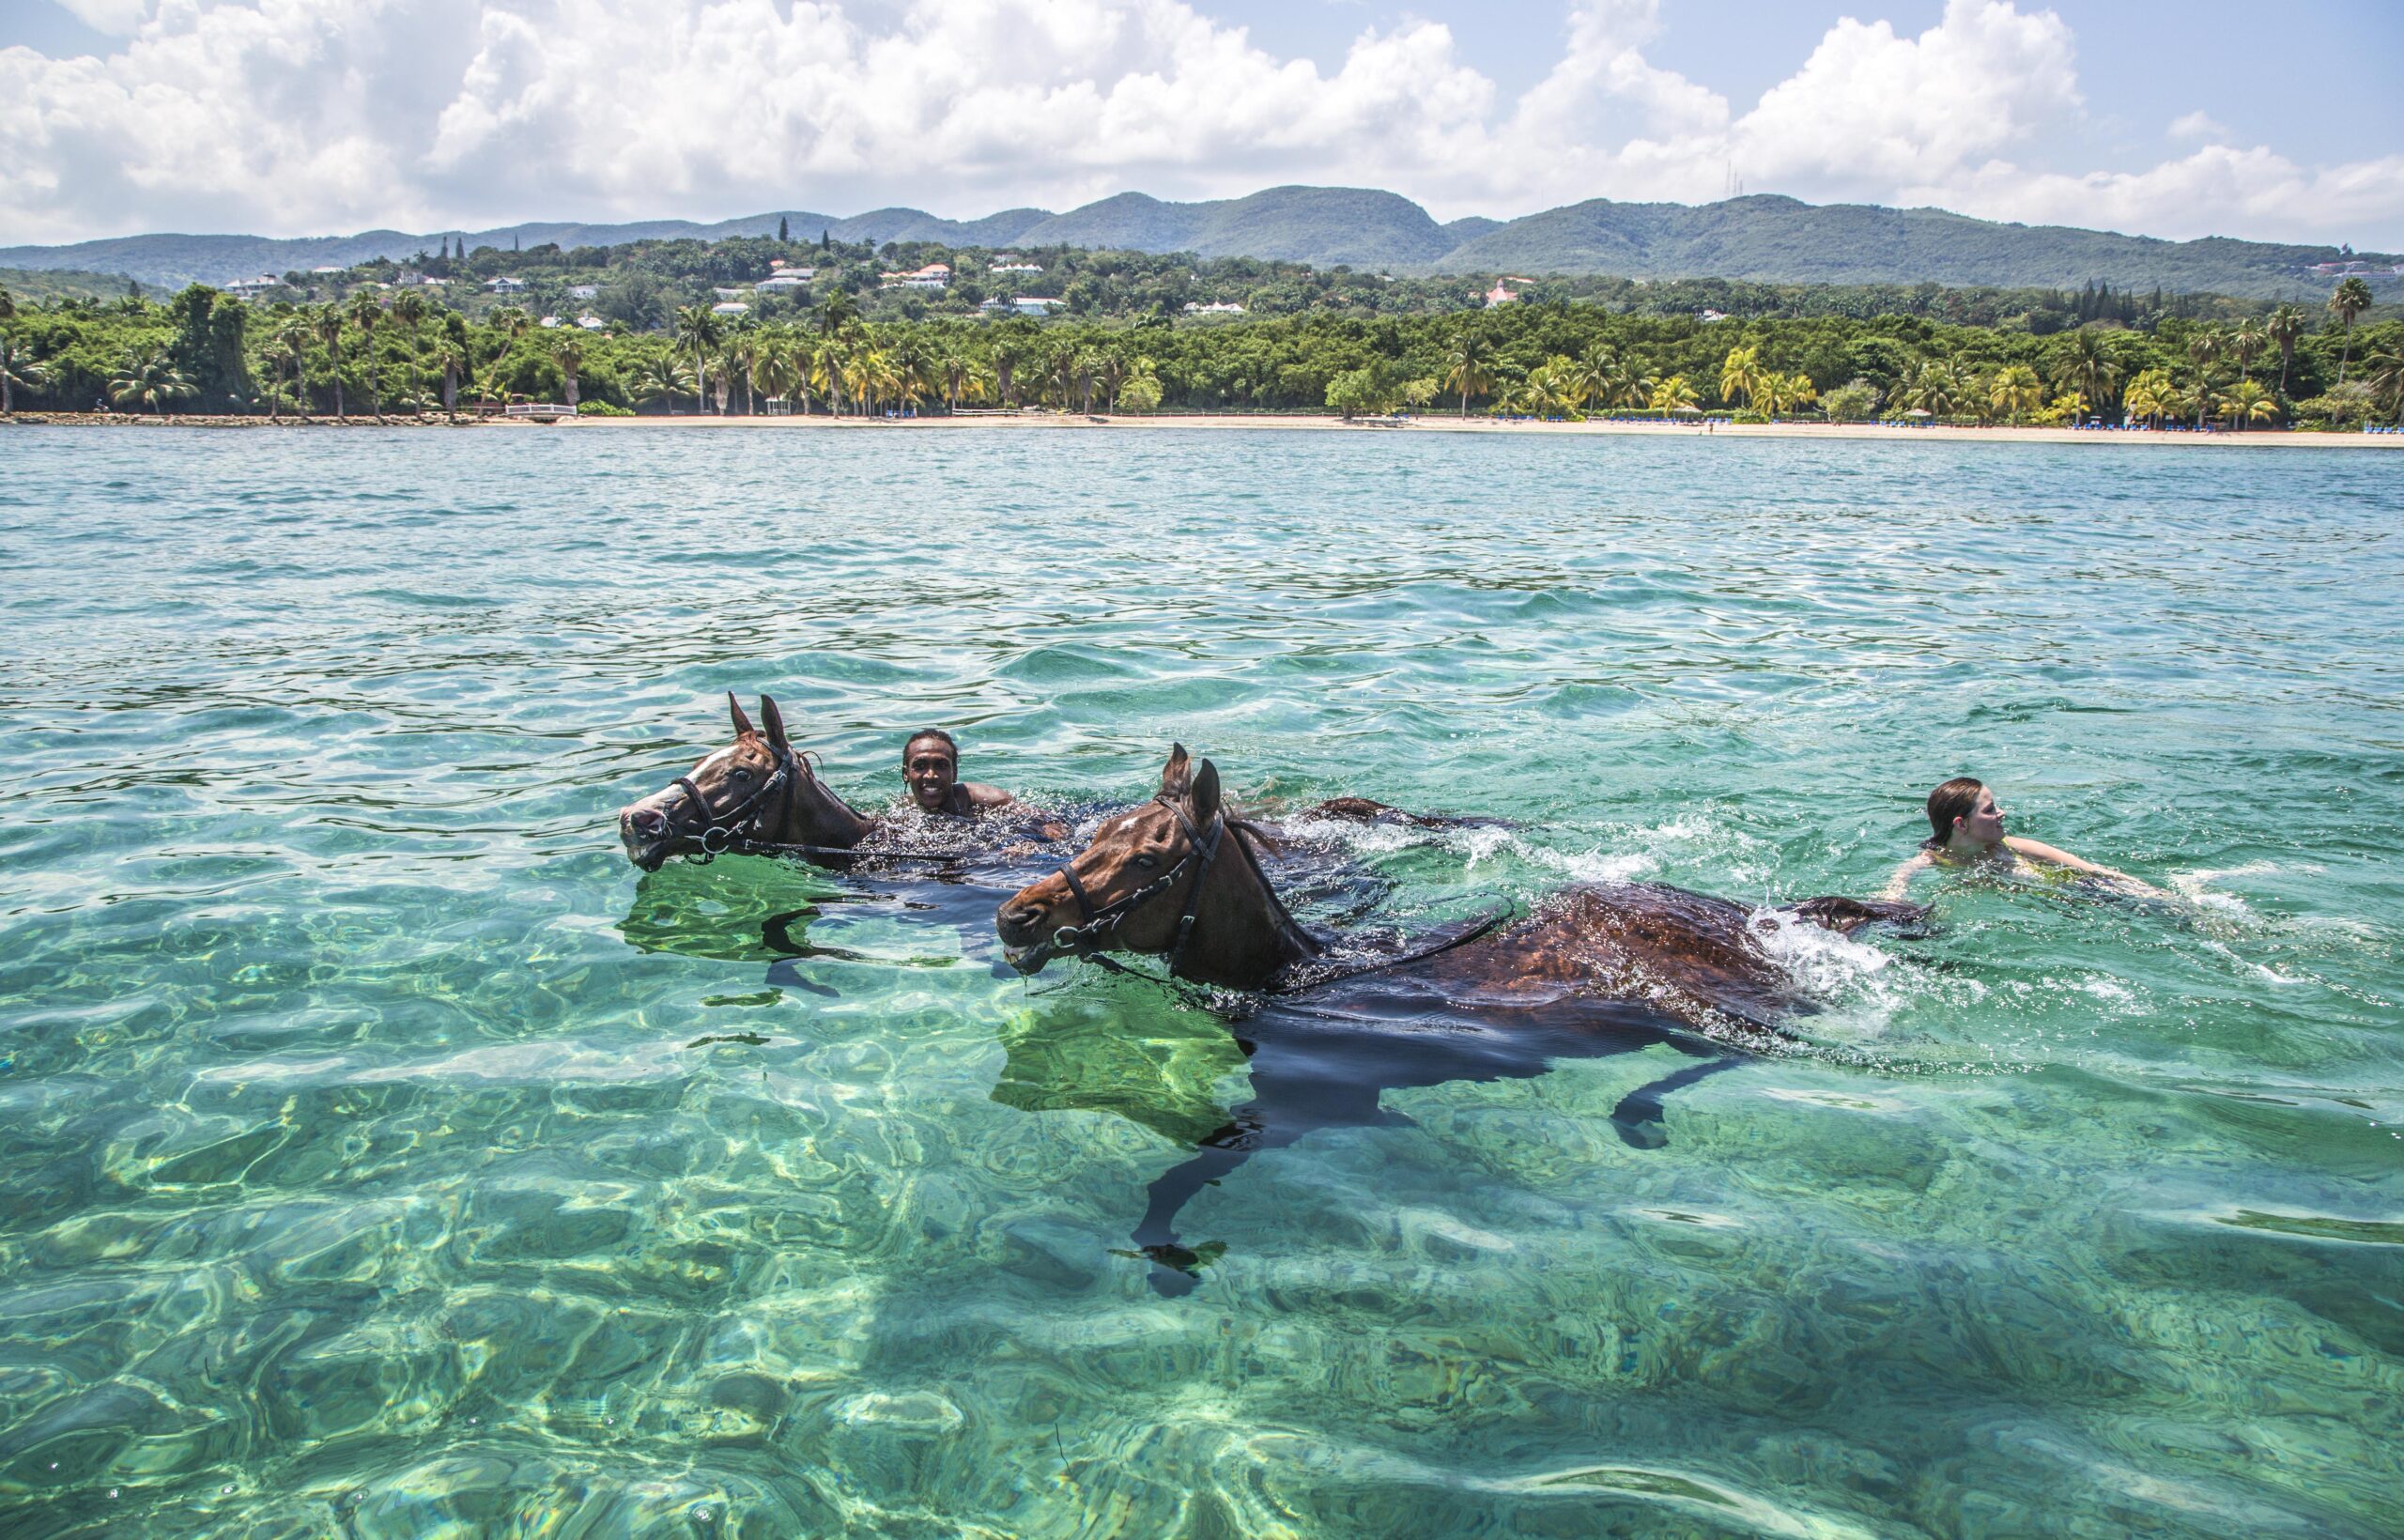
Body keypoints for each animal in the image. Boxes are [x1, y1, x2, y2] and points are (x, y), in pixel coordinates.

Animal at [990, 740, 1913, 1287]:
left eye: (1151, 856)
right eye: (1095, 834)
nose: (1017, 917)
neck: (1306, 978)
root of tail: (1762, 916)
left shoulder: (1314, 1109)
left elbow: (1176, 1179)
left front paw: (1166, 1255)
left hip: (1705, 1011)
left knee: (1749, 1054)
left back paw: (1636, 1111)